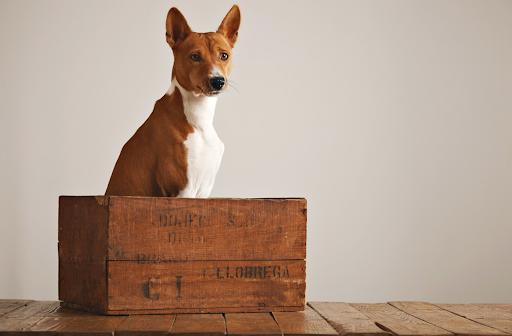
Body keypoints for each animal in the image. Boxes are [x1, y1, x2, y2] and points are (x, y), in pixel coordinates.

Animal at [105, 5, 241, 198]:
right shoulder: (182, 190)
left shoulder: (204, 190)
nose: (218, 81)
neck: (199, 120)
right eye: (195, 57)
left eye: (224, 56)